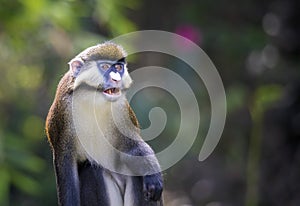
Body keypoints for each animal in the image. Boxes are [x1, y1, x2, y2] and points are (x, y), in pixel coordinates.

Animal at [46, 42, 164, 206]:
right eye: (105, 67)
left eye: (119, 68)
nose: (116, 79)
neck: (93, 100)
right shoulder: (64, 115)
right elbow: (67, 169)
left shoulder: (121, 109)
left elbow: (133, 146)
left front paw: (152, 174)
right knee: (93, 170)